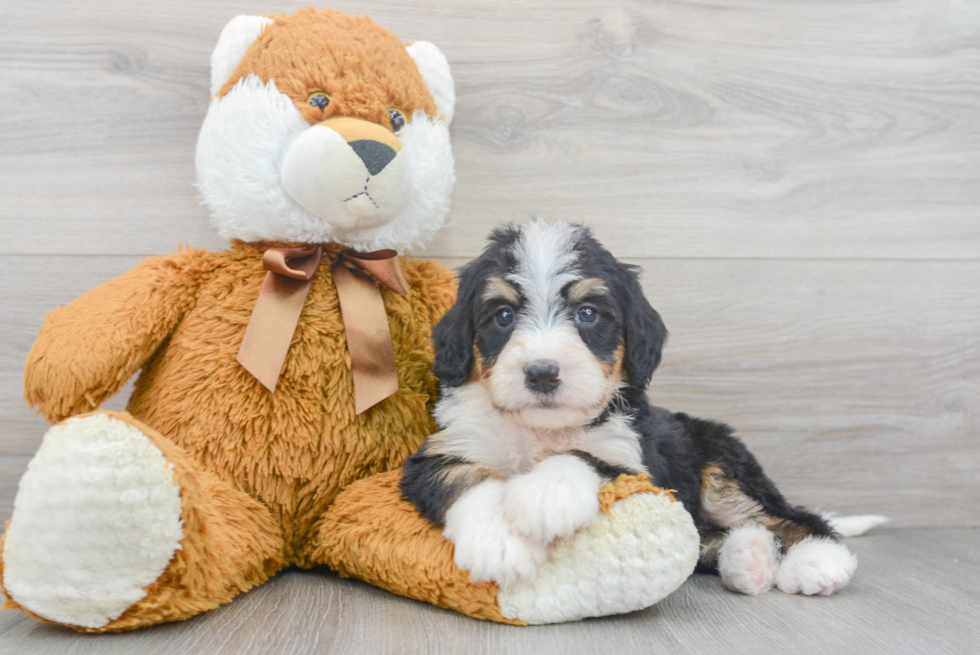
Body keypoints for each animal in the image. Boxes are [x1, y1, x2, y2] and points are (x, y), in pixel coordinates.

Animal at [402, 219, 884, 596]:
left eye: (588, 314)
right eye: (502, 316)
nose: (542, 373)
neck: (540, 429)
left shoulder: (634, 461)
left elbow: (585, 456)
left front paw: (546, 494)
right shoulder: (442, 450)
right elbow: (469, 477)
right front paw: (499, 540)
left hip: (722, 473)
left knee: (792, 516)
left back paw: (815, 560)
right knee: (709, 537)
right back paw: (749, 558)